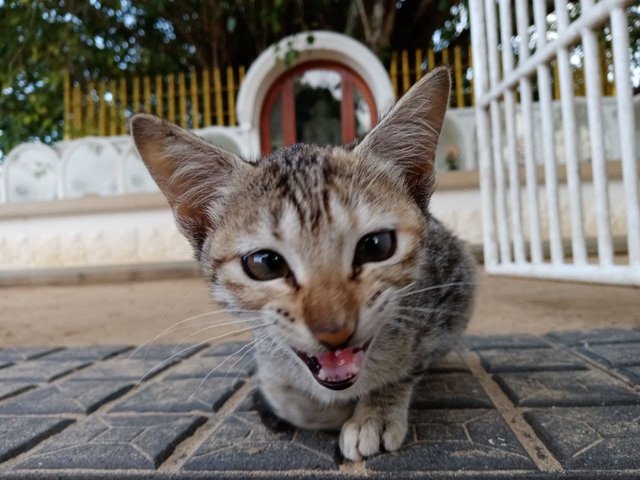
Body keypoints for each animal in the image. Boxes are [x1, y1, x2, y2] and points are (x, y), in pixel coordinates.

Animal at [131, 65, 476, 460]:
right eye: (265, 264)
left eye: (376, 246)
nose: (335, 330)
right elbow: (287, 392)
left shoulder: (454, 285)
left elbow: (410, 362)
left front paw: (376, 409)